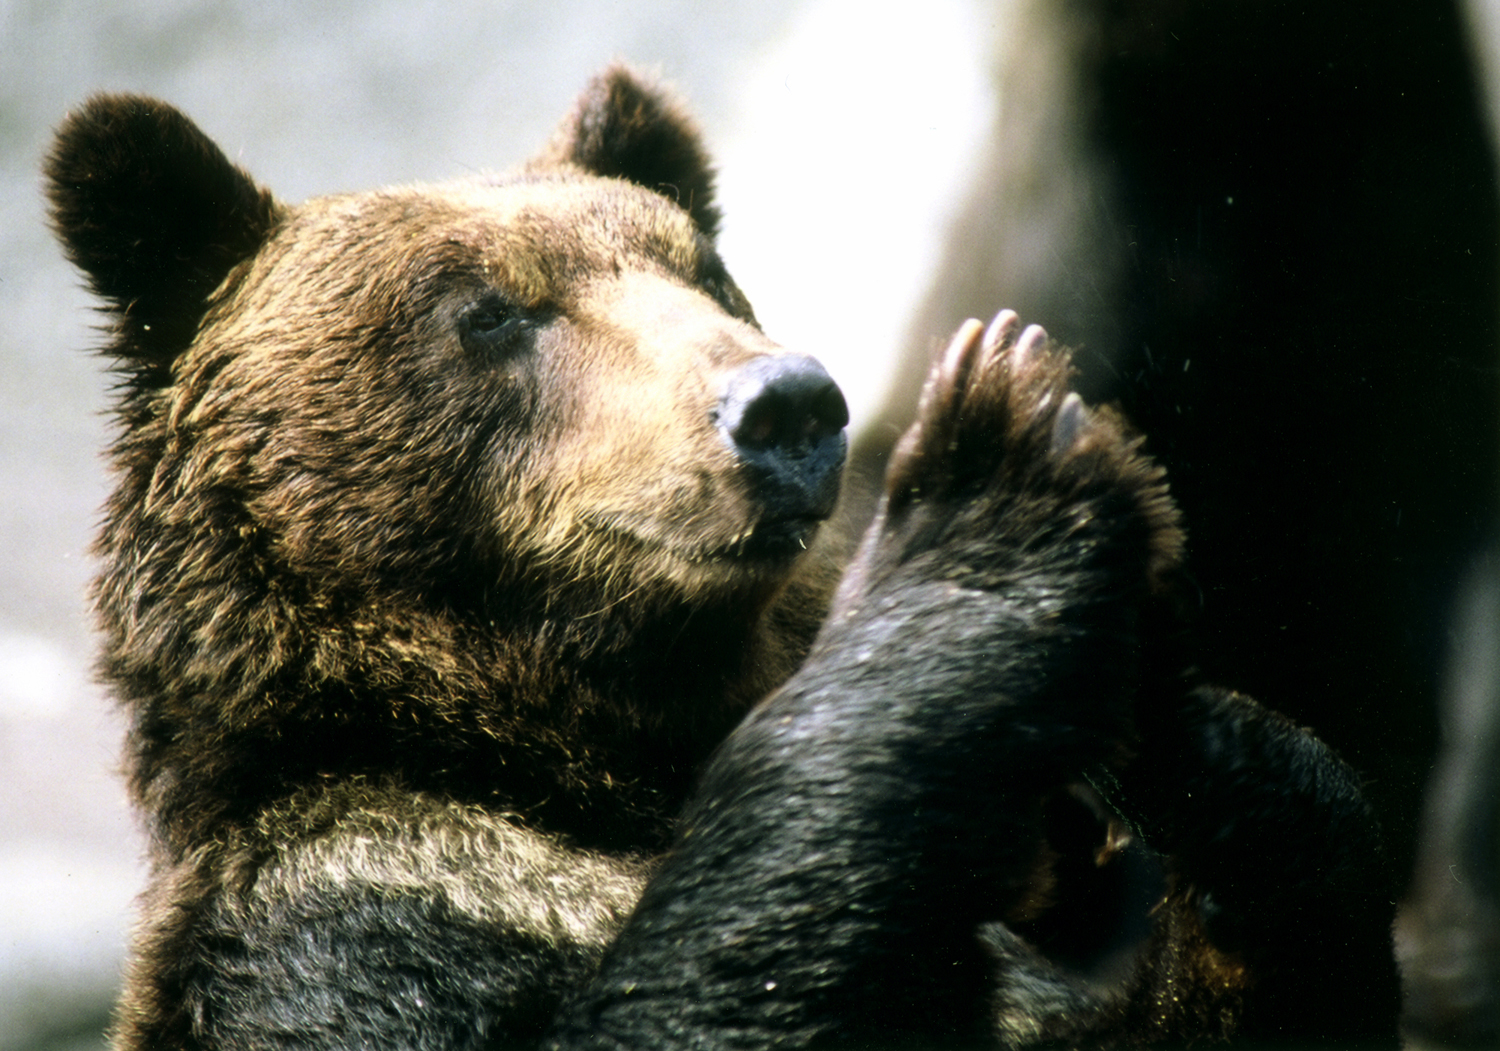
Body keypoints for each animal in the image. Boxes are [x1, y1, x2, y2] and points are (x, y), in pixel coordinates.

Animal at [46, 65, 1398, 1049]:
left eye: (703, 273)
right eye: (491, 309)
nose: (788, 404)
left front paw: (1183, 721)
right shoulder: (370, 924)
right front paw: (988, 489)